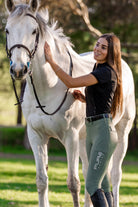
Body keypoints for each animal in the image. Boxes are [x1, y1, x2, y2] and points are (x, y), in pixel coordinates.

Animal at [4, 0, 135, 207]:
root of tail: (123, 64)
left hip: (121, 133)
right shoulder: (36, 136)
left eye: (34, 31)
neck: (48, 87)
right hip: (84, 139)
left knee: (115, 175)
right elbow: (41, 181)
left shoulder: (70, 137)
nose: (18, 69)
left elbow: (73, 183)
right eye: (7, 30)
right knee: (92, 174)